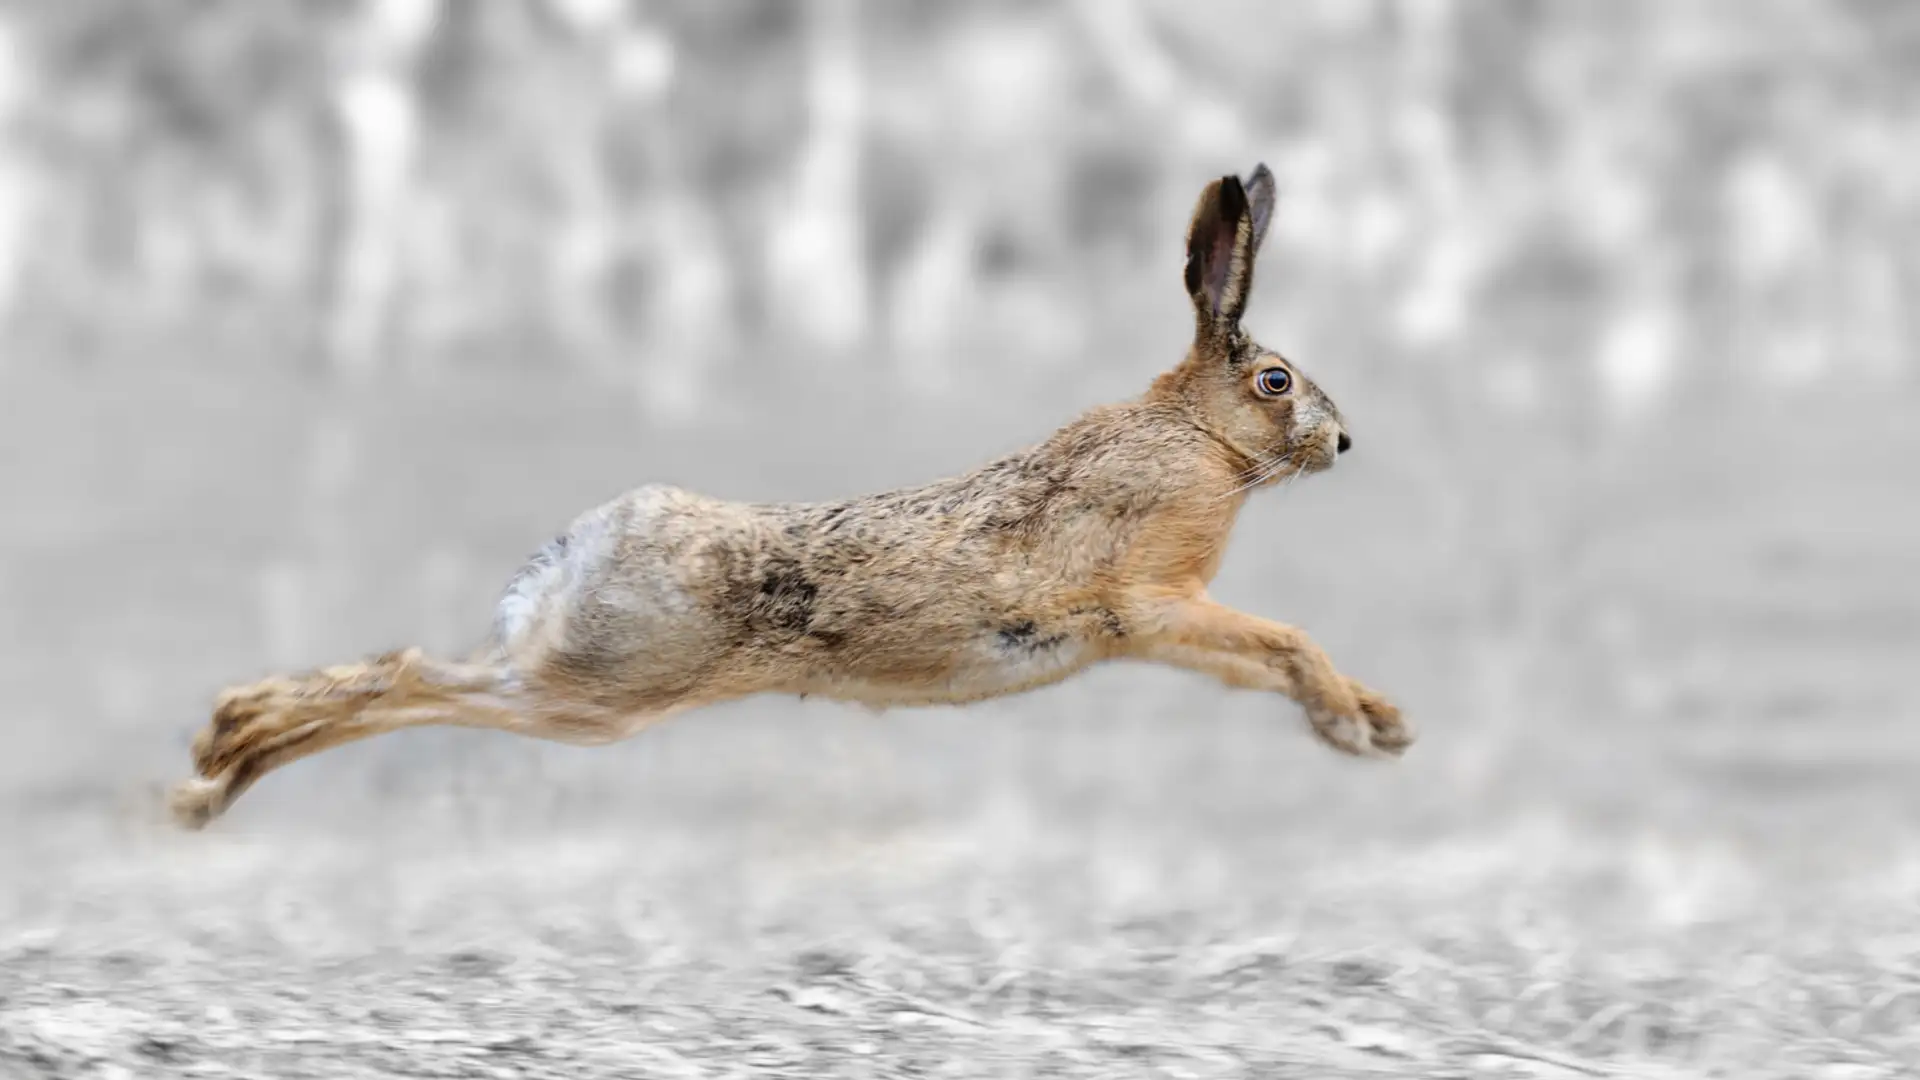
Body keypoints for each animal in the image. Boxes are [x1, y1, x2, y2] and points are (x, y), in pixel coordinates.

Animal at [170, 163, 1410, 829]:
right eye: (1275, 381)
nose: (1347, 441)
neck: (1195, 435)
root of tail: (577, 549)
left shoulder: (1160, 628)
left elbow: (1267, 655)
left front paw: (1383, 723)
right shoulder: (1150, 602)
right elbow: (1284, 641)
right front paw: (1354, 729)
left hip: (579, 682)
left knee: (416, 676)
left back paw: (222, 754)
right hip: (598, 690)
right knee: (420, 678)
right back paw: (216, 774)